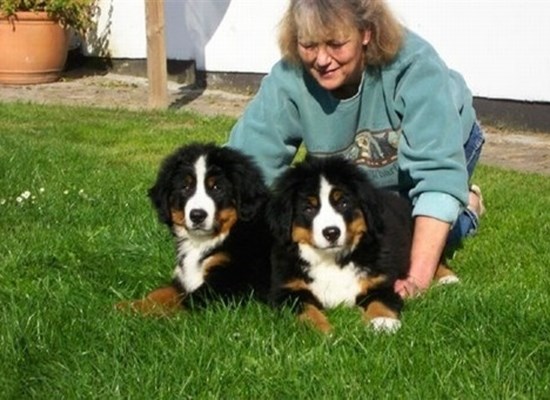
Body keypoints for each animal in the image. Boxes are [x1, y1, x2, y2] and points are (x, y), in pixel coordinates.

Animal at [121, 144, 276, 316]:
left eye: (217, 188)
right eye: (185, 187)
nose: (197, 215)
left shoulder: (229, 284)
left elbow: (184, 301)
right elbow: (161, 292)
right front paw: (125, 305)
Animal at [268, 156, 414, 334]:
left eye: (343, 203)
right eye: (309, 208)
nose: (331, 233)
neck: (330, 260)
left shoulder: (379, 282)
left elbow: (380, 301)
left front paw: (382, 322)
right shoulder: (289, 291)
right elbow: (307, 311)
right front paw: (322, 331)